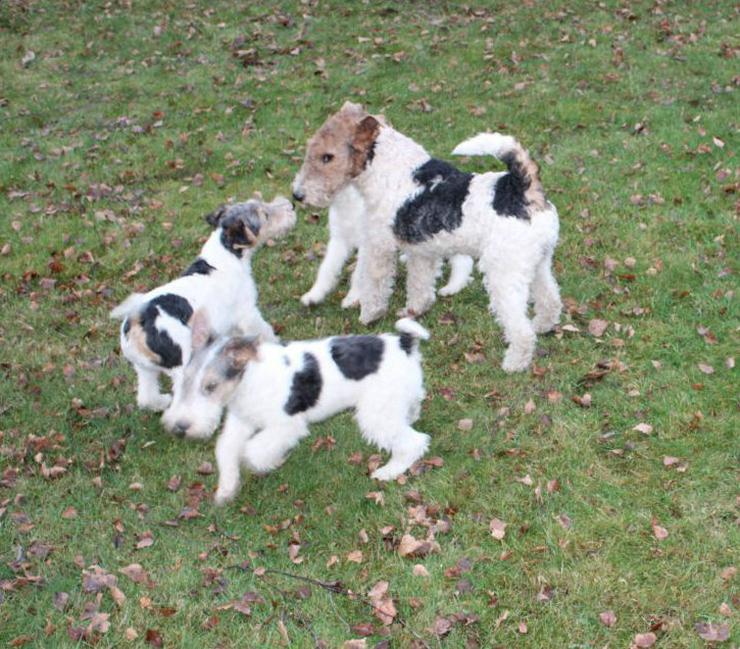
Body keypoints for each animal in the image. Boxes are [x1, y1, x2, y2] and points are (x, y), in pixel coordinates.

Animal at [110, 195, 294, 422]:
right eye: (265, 215)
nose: (291, 206)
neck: (225, 254)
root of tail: (137, 321)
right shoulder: (248, 312)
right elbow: (264, 331)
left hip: (144, 369)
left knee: (146, 397)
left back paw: (161, 402)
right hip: (183, 365)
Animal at [162, 312, 428, 504]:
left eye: (211, 386)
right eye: (185, 380)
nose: (180, 427)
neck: (249, 377)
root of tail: (404, 343)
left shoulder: (286, 425)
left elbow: (251, 451)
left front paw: (269, 461)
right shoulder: (243, 420)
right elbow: (225, 448)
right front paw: (226, 490)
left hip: (376, 414)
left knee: (416, 441)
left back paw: (388, 471)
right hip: (392, 401)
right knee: (413, 407)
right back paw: (411, 416)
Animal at [300, 184, 474, 308]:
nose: (299, 196)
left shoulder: (368, 243)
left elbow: (358, 274)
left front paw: (353, 297)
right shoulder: (339, 239)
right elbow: (327, 269)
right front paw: (314, 295)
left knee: (464, 259)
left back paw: (453, 287)